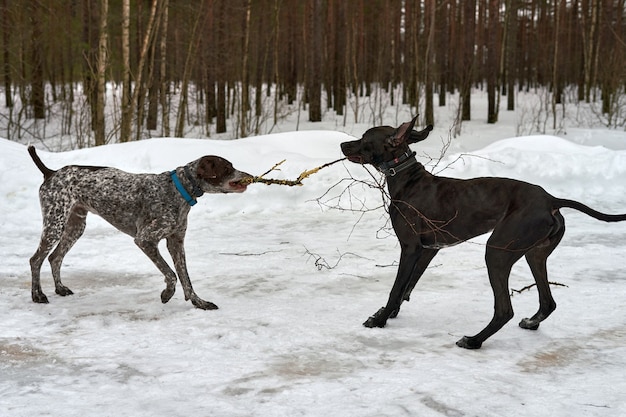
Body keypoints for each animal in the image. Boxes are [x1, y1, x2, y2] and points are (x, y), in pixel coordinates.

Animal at [342, 117, 624, 348]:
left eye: (364, 138)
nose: (343, 144)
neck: (407, 179)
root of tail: (551, 200)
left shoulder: (410, 248)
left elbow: (396, 288)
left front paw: (379, 321)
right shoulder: (428, 250)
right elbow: (407, 287)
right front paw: (387, 314)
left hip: (497, 252)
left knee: (505, 310)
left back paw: (474, 340)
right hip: (534, 254)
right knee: (547, 302)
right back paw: (530, 323)